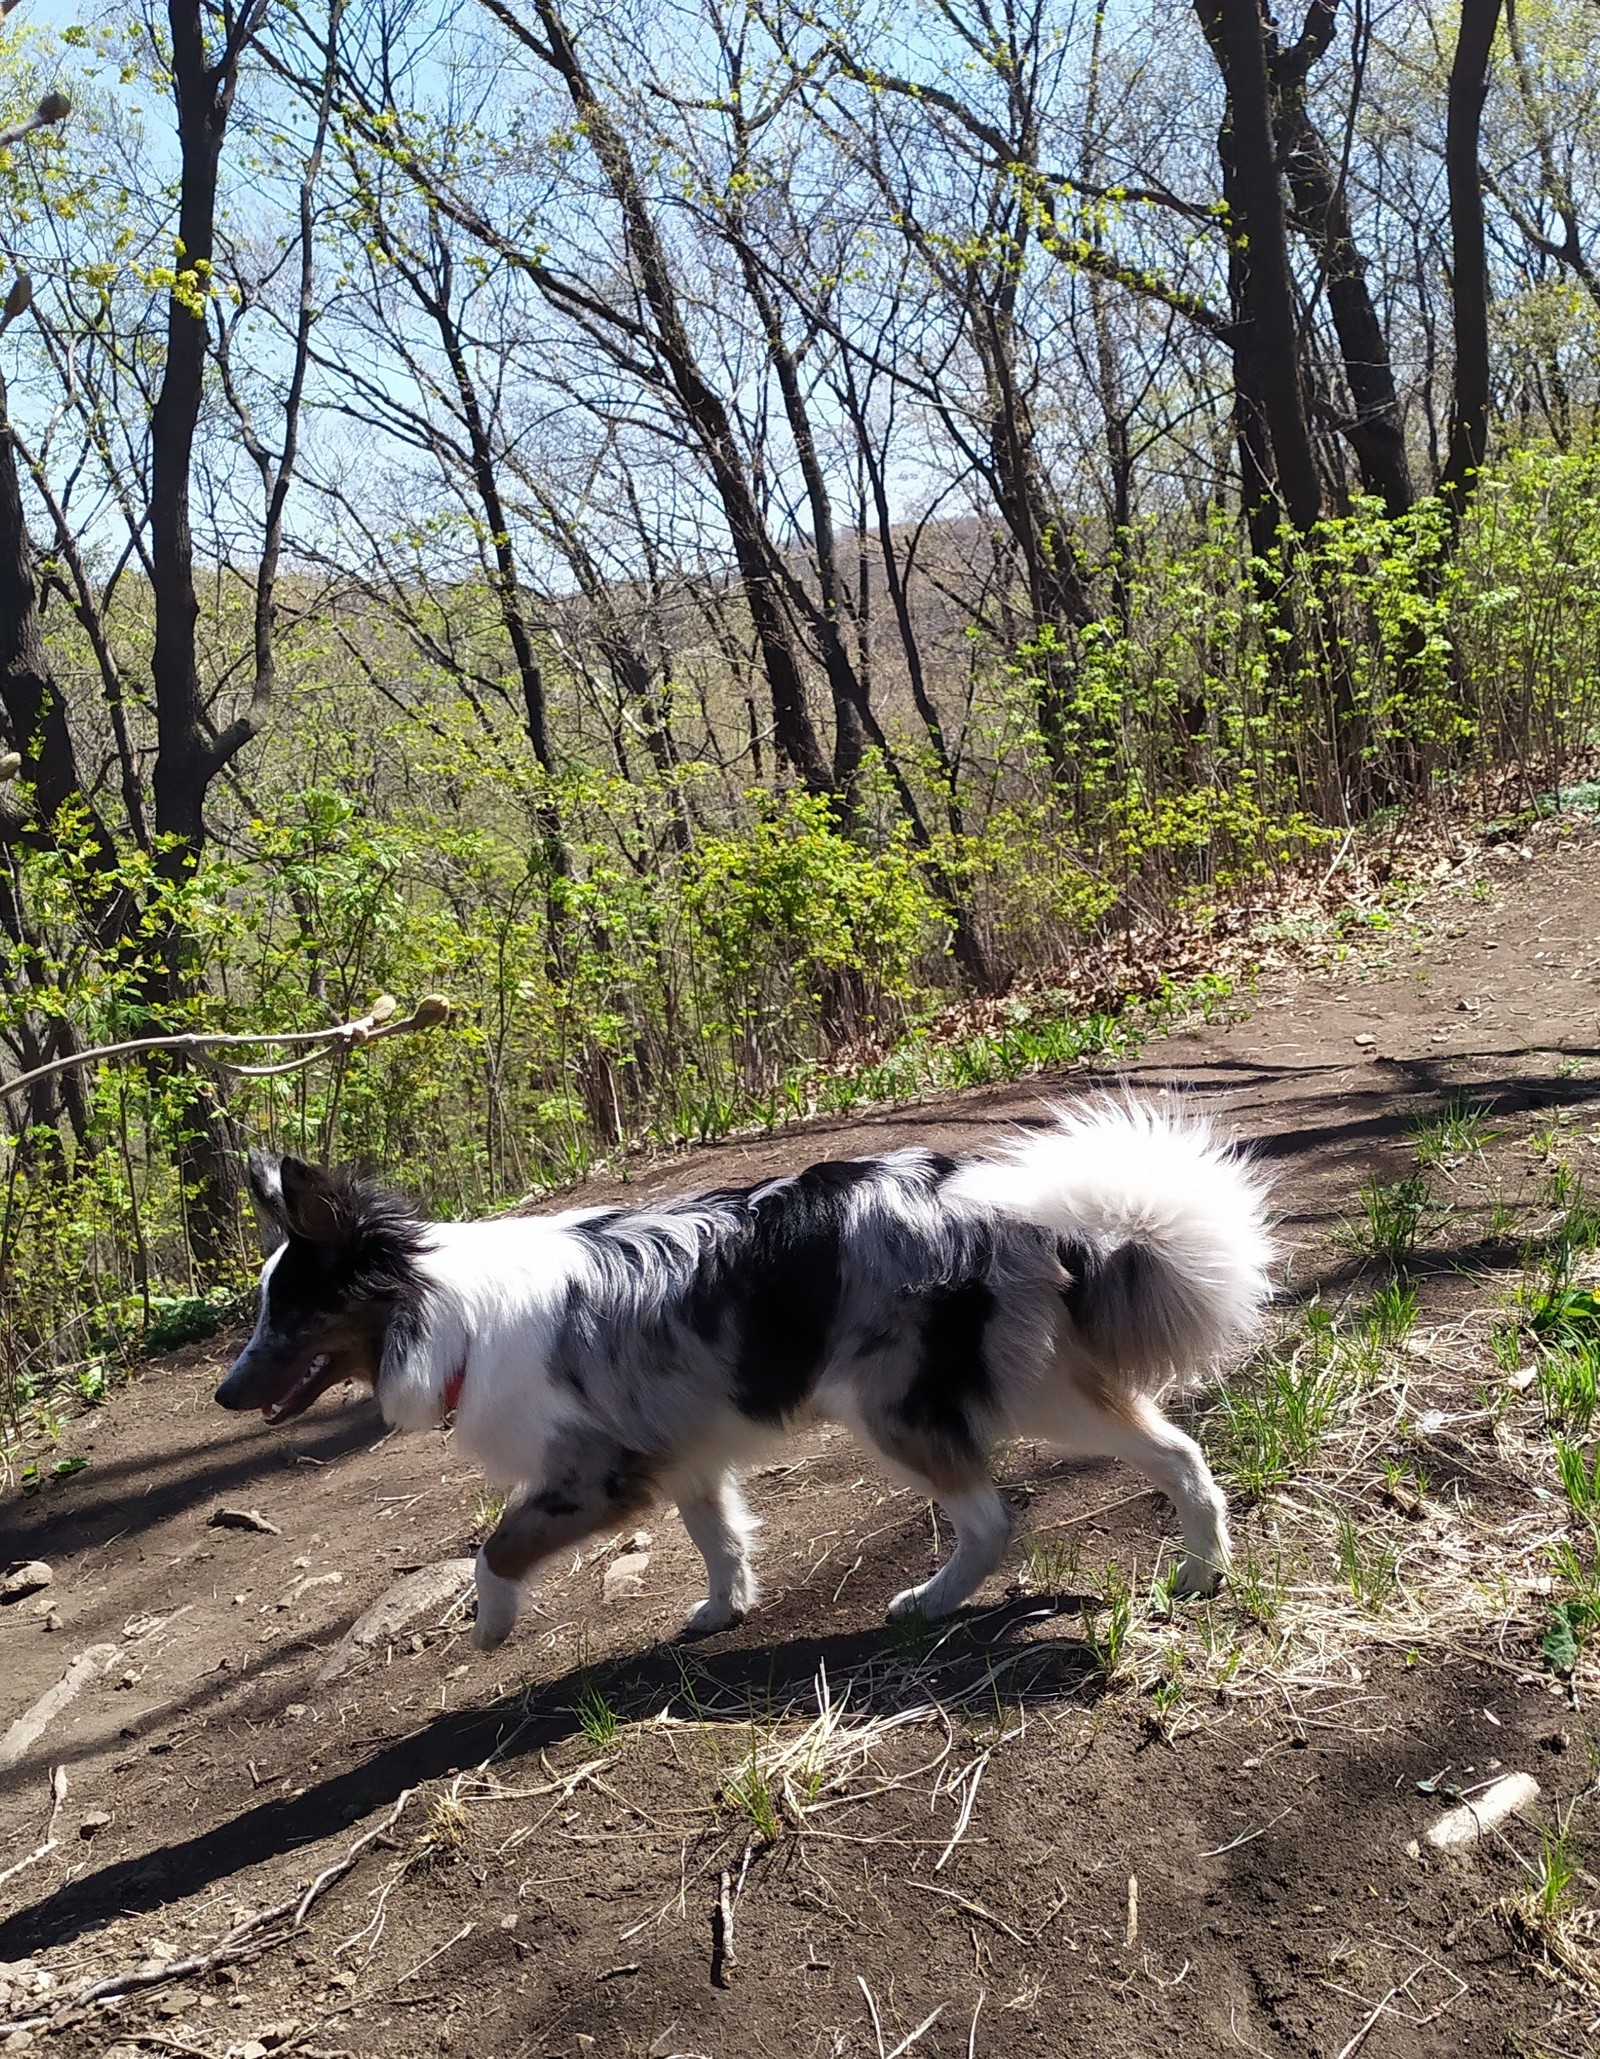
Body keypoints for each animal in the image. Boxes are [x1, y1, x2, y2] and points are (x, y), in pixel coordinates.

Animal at [215, 1103, 1276, 1647]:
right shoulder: (686, 1452)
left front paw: (490, 1626)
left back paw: (931, 1601)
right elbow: (718, 1538)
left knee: (989, 1517)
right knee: (1178, 1454)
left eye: (290, 1313)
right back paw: (1201, 1568)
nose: (223, 1394)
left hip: (894, 1408)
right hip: (1046, 1384)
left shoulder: (593, 1474)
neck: (440, 1310)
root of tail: (1000, 1205)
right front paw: (726, 1609)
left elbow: (496, 1548)